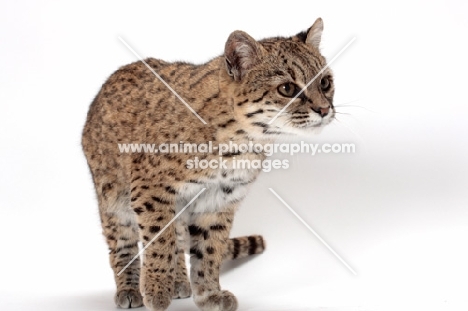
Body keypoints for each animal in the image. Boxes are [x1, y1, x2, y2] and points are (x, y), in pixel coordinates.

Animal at [82, 17, 334, 311]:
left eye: (326, 83)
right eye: (287, 89)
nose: (324, 110)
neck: (243, 142)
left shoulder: (219, 198)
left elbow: (209, 250)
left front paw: (207, 293)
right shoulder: (150, 190)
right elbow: (159, 240)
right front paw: (156, 290)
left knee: (179, 238)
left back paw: (180, 281)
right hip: (113, 198)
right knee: (122, 243)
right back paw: (131, 288)